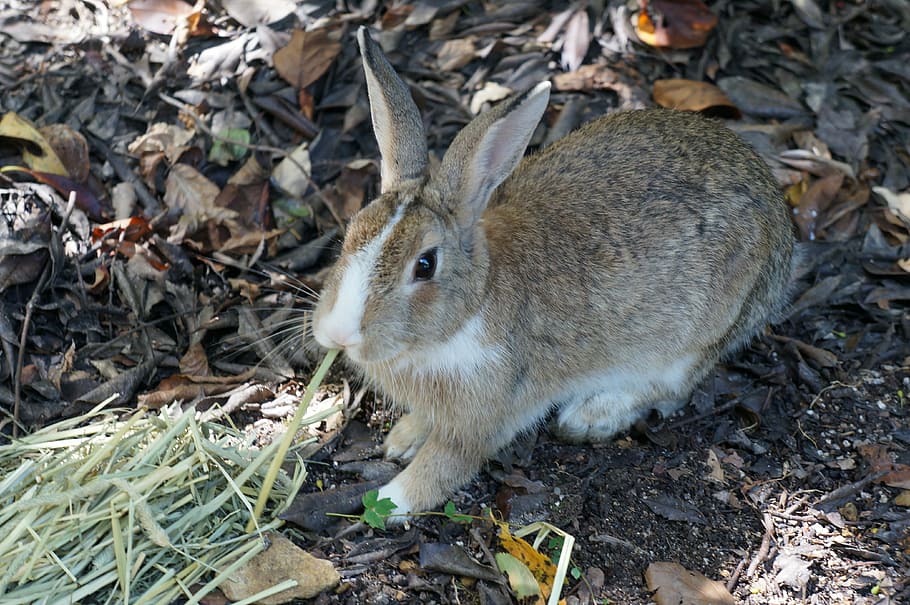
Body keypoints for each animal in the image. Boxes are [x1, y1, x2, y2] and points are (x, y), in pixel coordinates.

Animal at [311, 27, 796, 520]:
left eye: (424, 265)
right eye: (351, 232)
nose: (338, 333)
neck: (466, 312)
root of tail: (780, 228)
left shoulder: (483, 417)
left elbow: (447, 464)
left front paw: (393, 500)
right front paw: (402, 439)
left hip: (693, 333)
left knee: (672, 387)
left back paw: (592, 416)